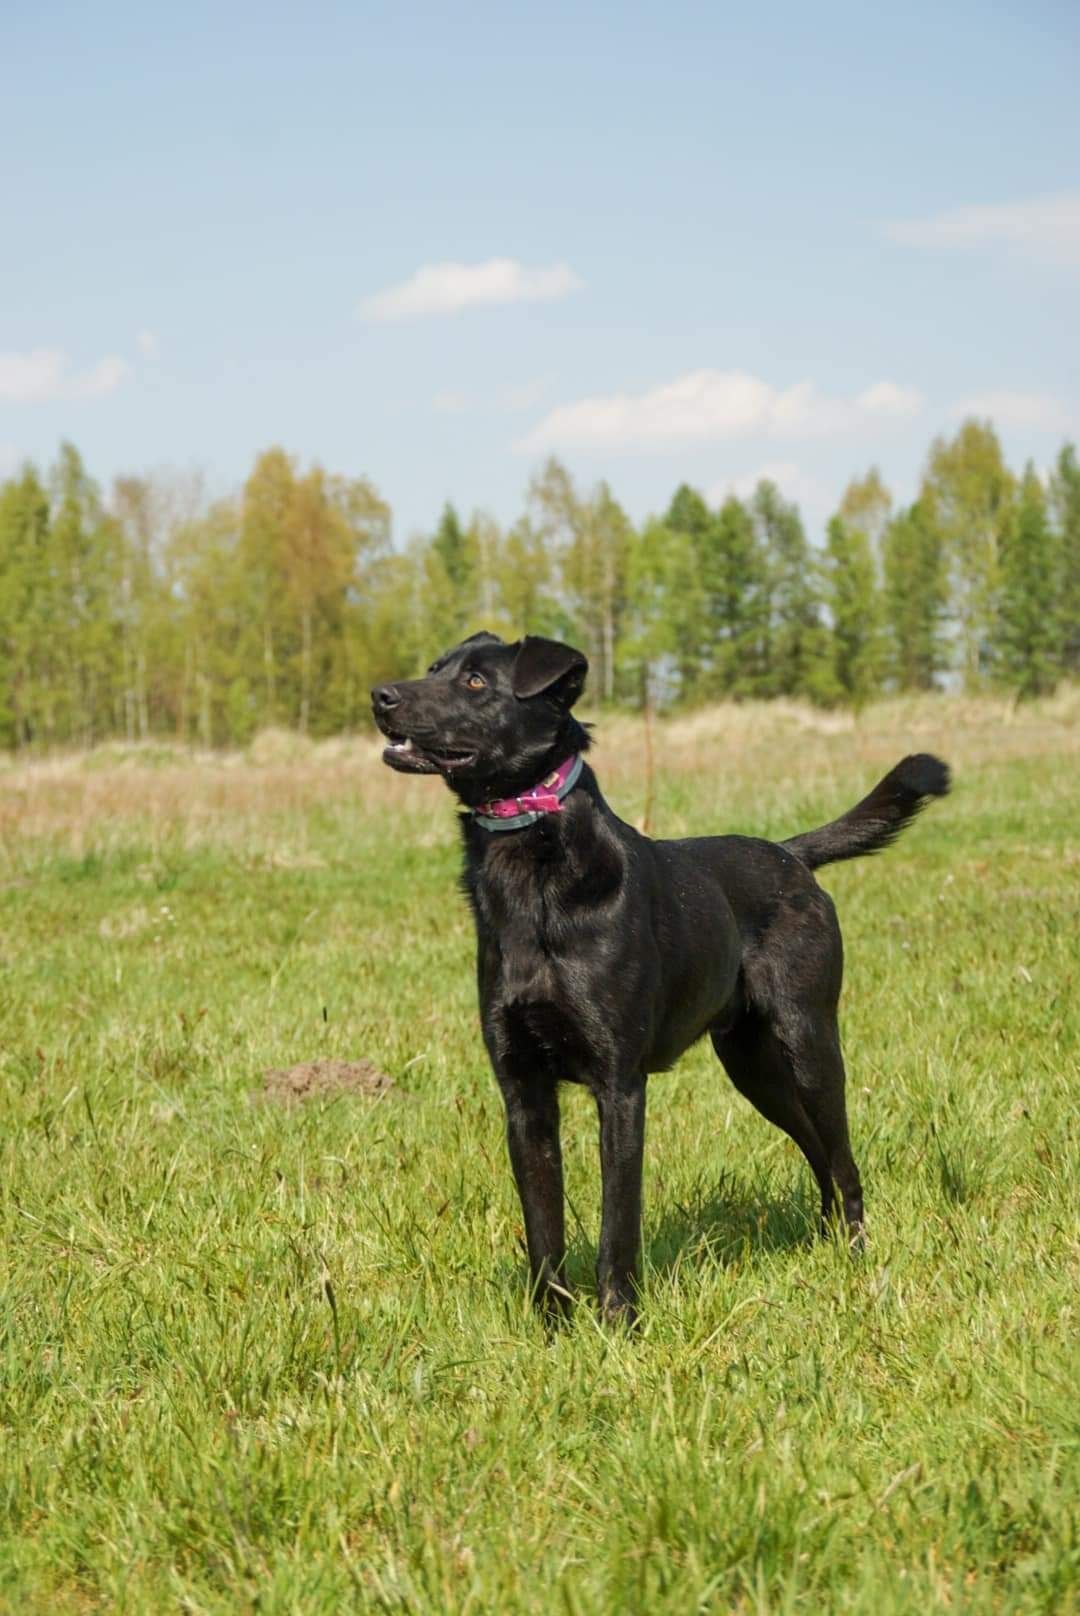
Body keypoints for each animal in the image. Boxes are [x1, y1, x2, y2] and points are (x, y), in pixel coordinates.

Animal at [375, 630, 950, 1325]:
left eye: (477, 682)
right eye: (435, 668)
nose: (380, 696)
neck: (532, 861)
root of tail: (792, 855)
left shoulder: (620, 1087)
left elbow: (617, 1223)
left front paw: (619, 1322)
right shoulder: (523, 1093)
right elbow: (543, 1228)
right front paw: (551, 1328)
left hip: (808, 1044)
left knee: (841, 1157)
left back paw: (857, 1256)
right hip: (753, 1066)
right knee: (815, 1150)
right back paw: (826, 1241)